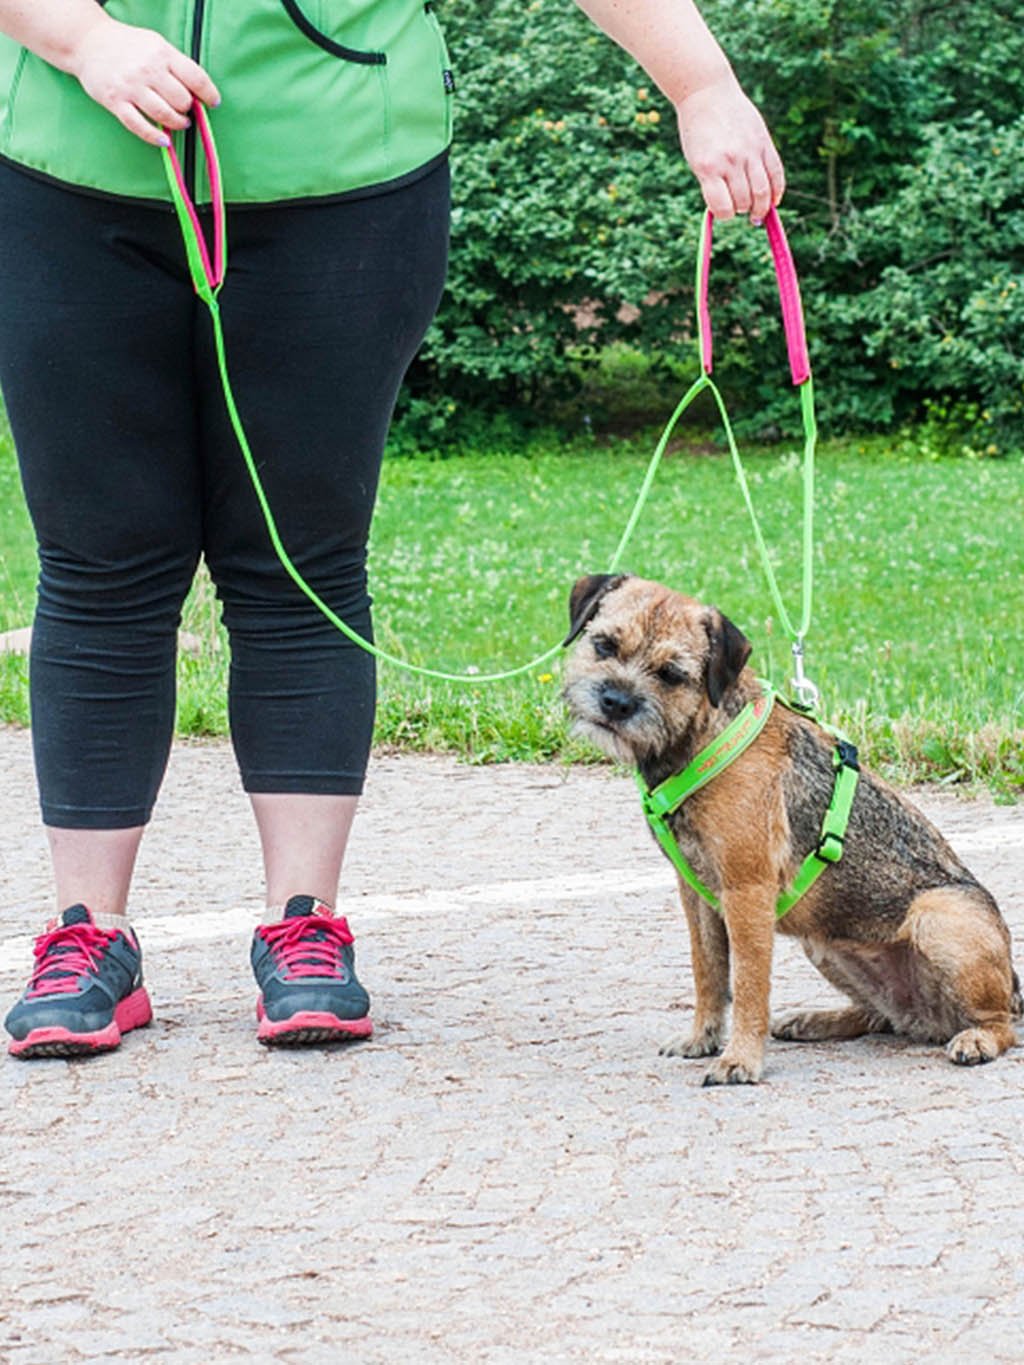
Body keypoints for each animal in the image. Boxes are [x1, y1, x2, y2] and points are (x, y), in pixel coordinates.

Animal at [565, 570, 1021, 1081]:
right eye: (604, 645)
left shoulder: (747, 893)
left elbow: (748, 984)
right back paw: (816, 1020)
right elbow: (707, 973)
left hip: (938, 918)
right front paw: (701, 1038)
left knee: (1000, 1024)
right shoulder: (696, 897)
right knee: (880, 1016)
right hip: (824, 942)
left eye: (671, 673)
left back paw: (978, 1038)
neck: (704, 734)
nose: (615, 702)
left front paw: (740, 1058)